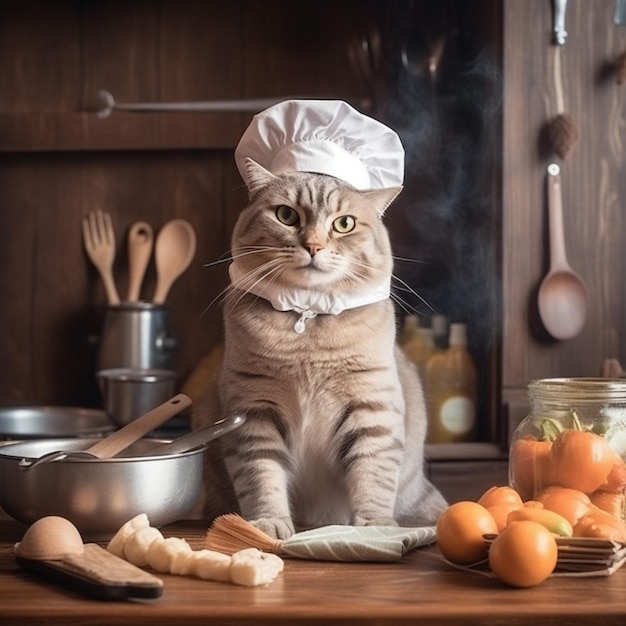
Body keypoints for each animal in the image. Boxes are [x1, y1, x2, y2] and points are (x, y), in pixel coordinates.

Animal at [193, 156, 446, 536]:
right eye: (286, 215)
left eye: (344, 224)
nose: (313, 246)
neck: (308, 316)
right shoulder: (253, 411)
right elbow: (261, 476)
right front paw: (267, 524)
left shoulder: (372, 408)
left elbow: (373, 475)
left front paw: (374, 527)